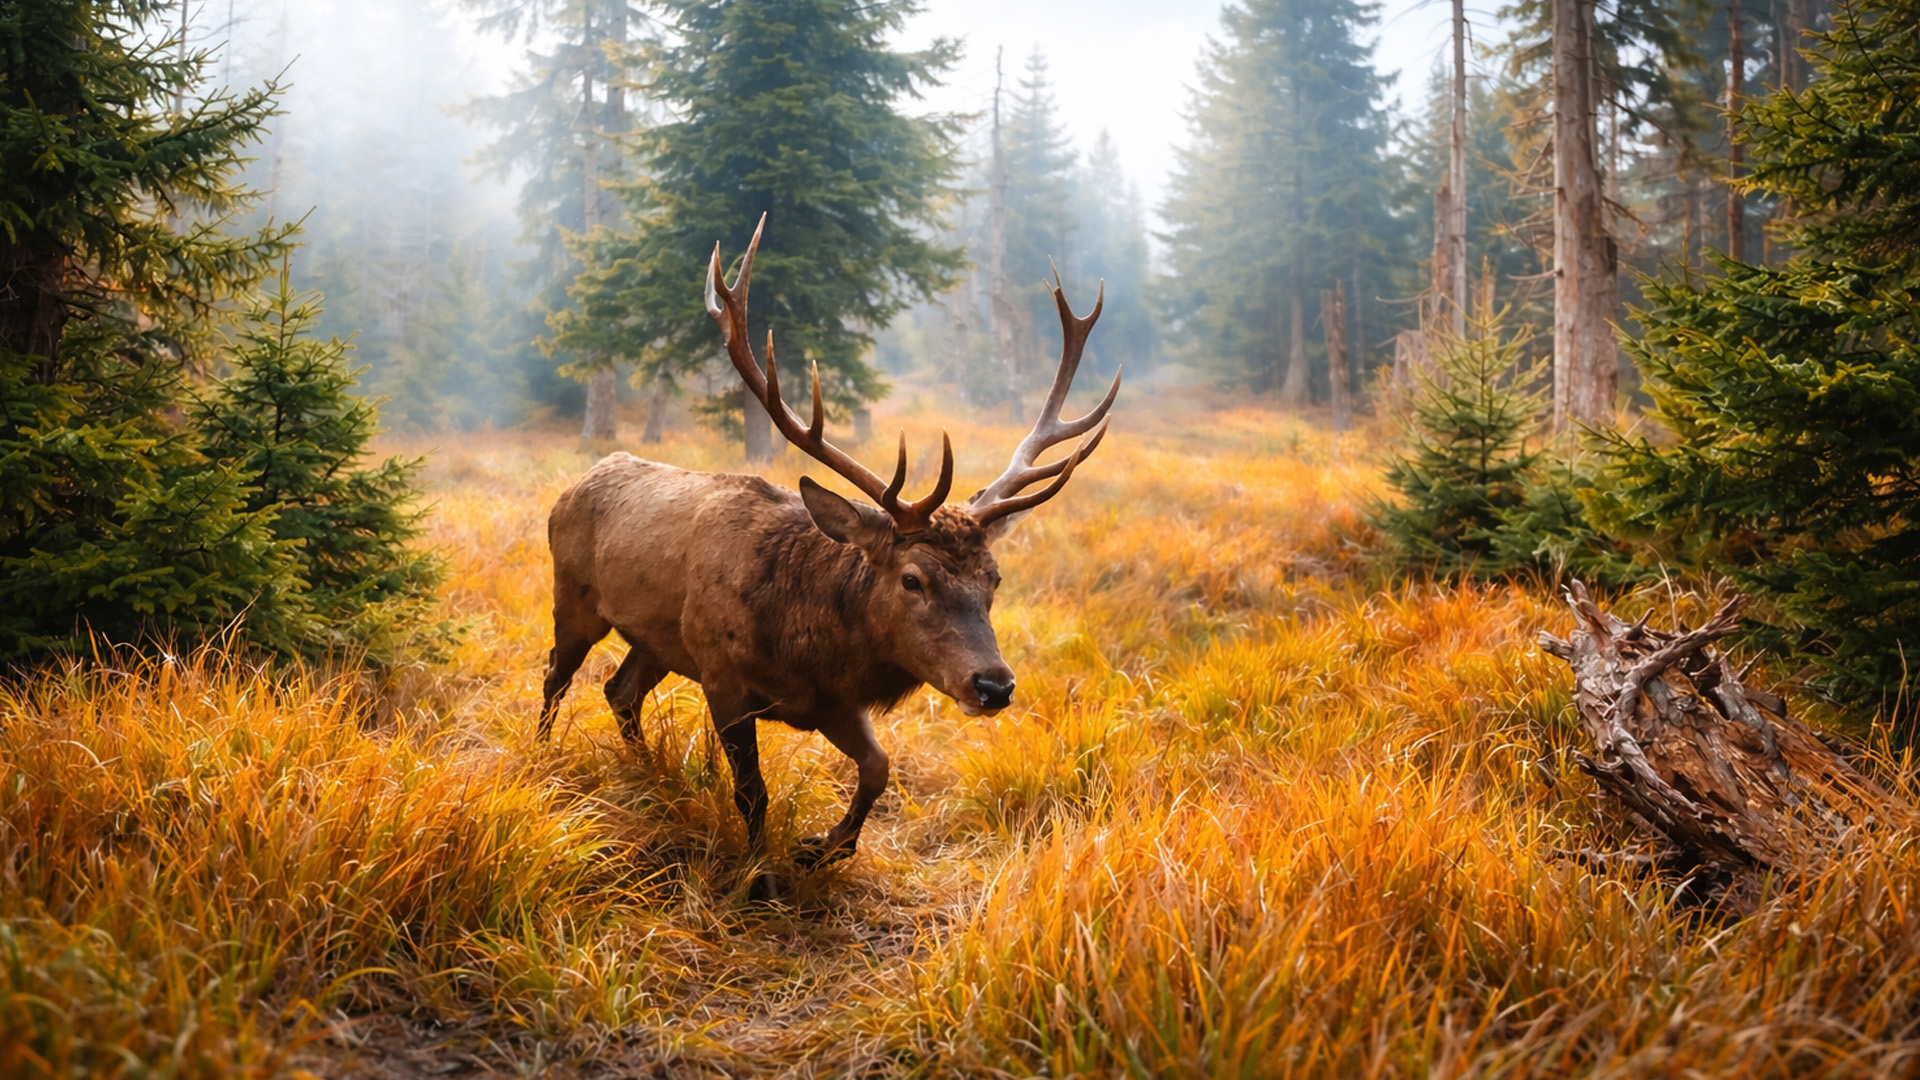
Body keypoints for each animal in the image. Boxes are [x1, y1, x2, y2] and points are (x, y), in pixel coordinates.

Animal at [537, 216, 1118, 891]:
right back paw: (544, 756)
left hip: (658, 639)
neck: (809, 646)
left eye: (994, 578)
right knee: (556, 675)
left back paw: (654, 775)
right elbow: (753, 792)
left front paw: (822, 847)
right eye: (913, 579)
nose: (994, 685)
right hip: (575, 597)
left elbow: (879, 769)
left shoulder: (833, 702)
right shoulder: (723, 675)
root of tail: (576, 483)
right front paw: (761, 875)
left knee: (620, 691)